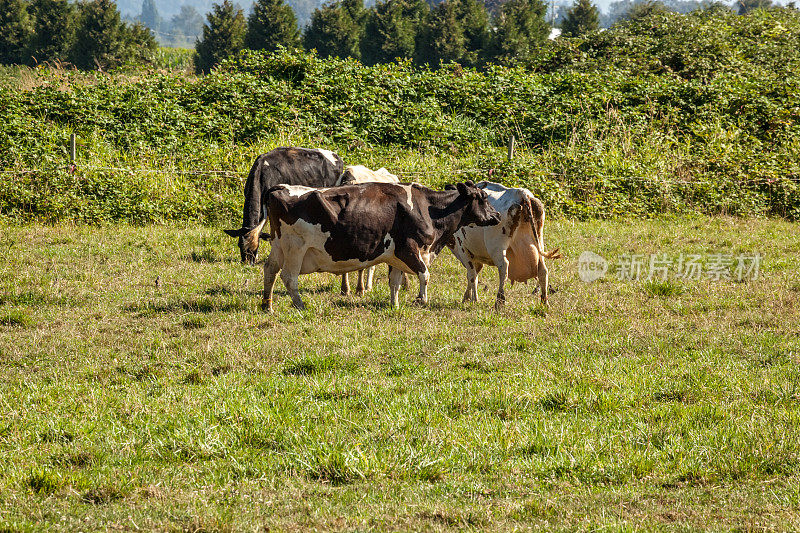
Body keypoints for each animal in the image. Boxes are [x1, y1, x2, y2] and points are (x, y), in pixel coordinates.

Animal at [260, 181, 500, 312]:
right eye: (483, 197)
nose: (497, 215)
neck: (428, 209)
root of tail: (279, 187)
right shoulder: (408, 248)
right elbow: (425, 274)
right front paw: (421, 299)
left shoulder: (395, 255)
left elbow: (394, 282)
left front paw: (395, 305)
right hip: (295, 247)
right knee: (289, 277)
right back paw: (300, 305)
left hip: (279, 245)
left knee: (270, 270)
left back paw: (267, 305)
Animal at [444, 182, 564, 310]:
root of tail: (521, 192)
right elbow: (472, 275)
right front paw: (466, 297)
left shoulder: (464, 250)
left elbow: (472, 277)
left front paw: (474, 300)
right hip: (539, 242)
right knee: (543, 271)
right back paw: (545, 302)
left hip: (497, 248)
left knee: (504, 267)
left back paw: (499, 300)